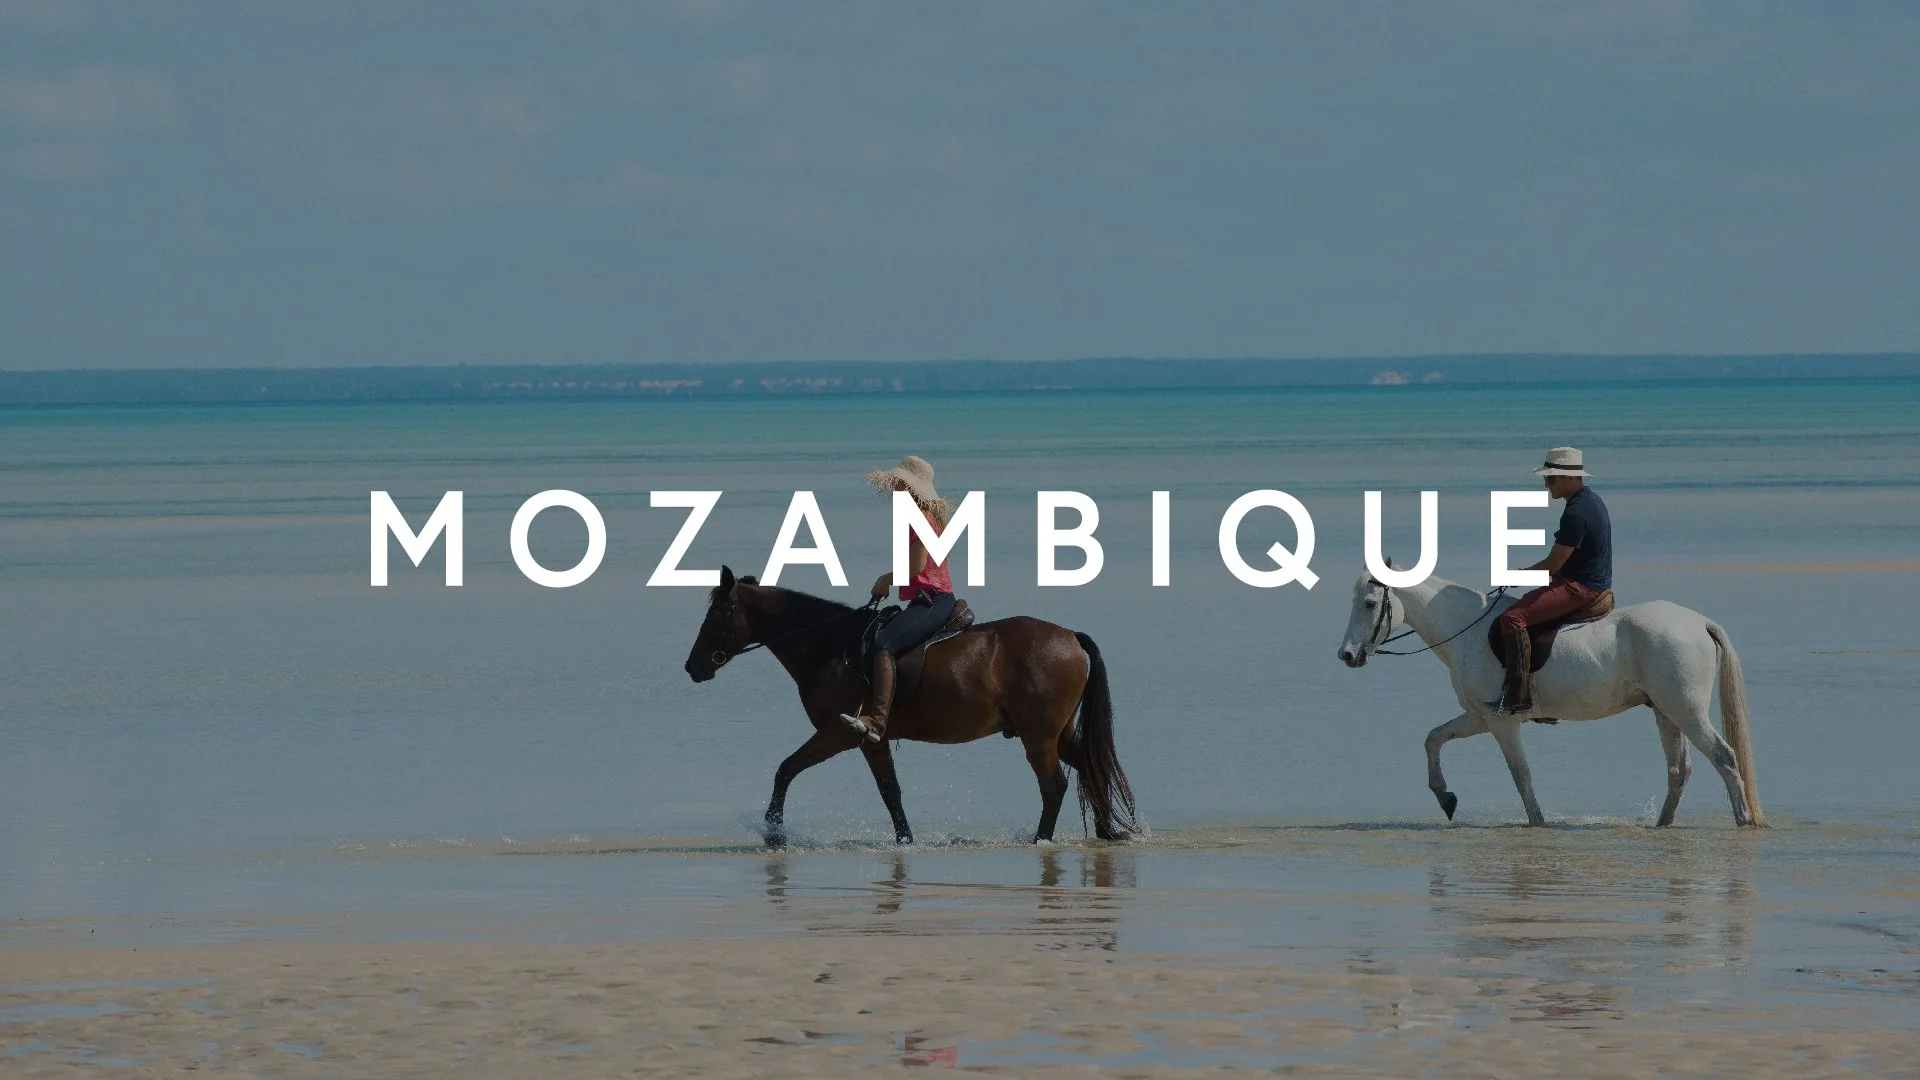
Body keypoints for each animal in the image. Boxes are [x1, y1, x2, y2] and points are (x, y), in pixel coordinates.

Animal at [683, 566, 1139, 848]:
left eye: (719, 613)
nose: (693, 666)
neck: (829, 647)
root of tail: (1070, 636)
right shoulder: (871, 739)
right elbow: (891, 791)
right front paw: (905, 841)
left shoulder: (840, 733)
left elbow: (786, 769)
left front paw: (774, 832)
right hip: (1057, 732)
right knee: (1091, 766)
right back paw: (1106, 831)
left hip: (1038, 736)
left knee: (1054, 785)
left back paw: (1041, 840)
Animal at [1334, 568, 1765, 828]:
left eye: (1369, 604)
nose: (1347, 655)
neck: (1466, 630)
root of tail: (1699, 622)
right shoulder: (1479, 718)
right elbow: (1433, 738)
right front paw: (1445, 797)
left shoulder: (1502, 722)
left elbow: (1521, 775)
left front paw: (1537, 823)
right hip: (1665, 712)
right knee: (1679, 771)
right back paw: (1663, 826)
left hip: (1686, 711)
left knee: (1724, 759)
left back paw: (1743, 822)